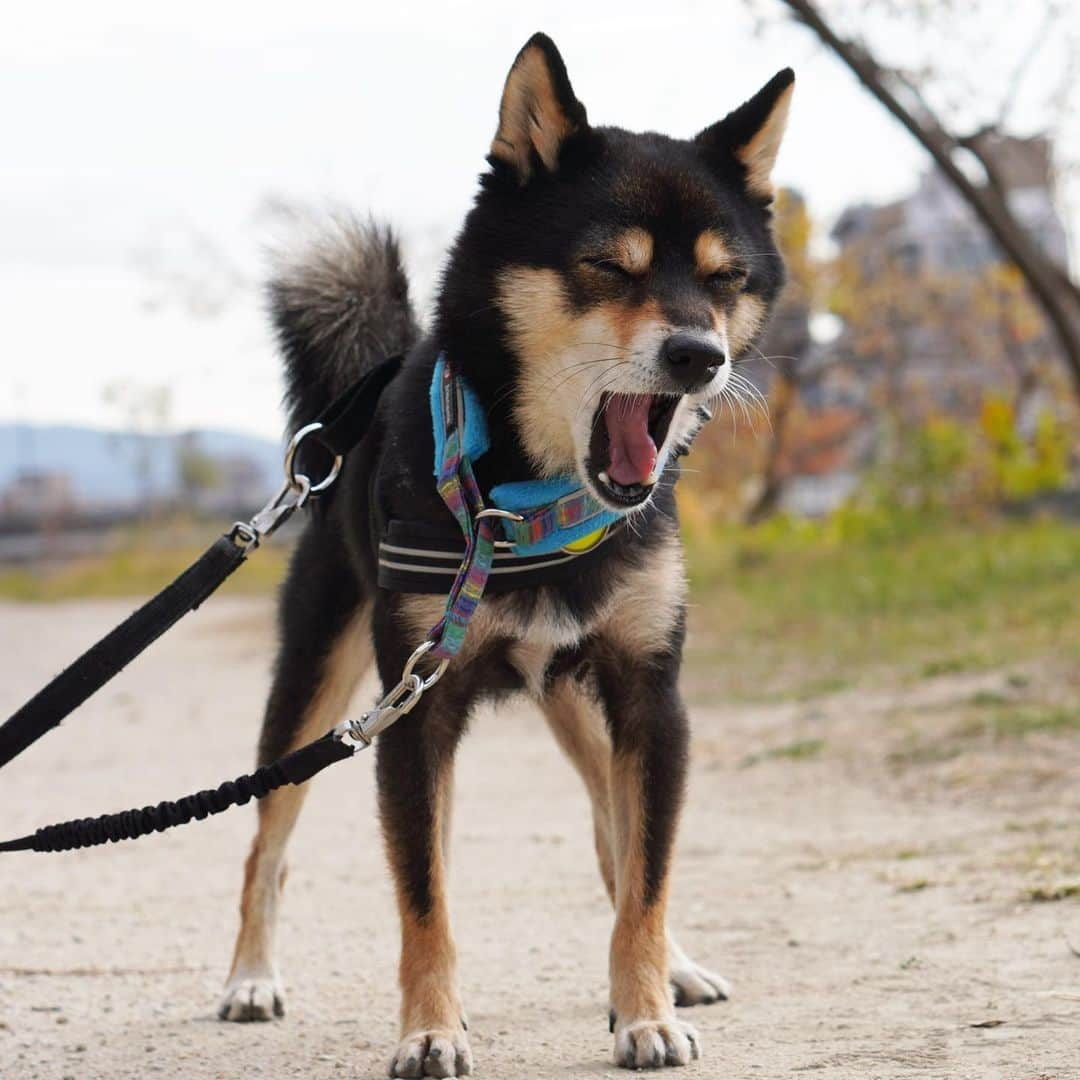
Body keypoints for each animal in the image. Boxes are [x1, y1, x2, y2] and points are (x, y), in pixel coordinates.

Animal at [219, 31, 794, 1071]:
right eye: (609, 267)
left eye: (725, 280)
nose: (700, 356)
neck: (527, 504)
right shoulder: (412, 717)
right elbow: (426, 901)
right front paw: (430, 1029)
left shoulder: (652, 699)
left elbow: (645, 872)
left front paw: (647, 1009)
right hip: (313, 685)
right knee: (267, 847)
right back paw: (250, 977)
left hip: (578, 699)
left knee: (614, 836)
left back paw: (674, 970)